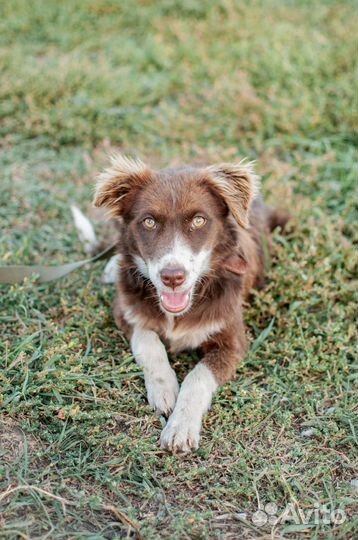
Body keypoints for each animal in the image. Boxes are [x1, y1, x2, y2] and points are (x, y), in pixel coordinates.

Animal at [75, 154, 288, 454]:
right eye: (149, 222)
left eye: (199, 220)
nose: (172, 277)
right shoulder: (124, 310)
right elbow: (148, 342)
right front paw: (164, 389)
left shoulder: (233, 342)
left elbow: (197, 377)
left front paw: (180, 427)